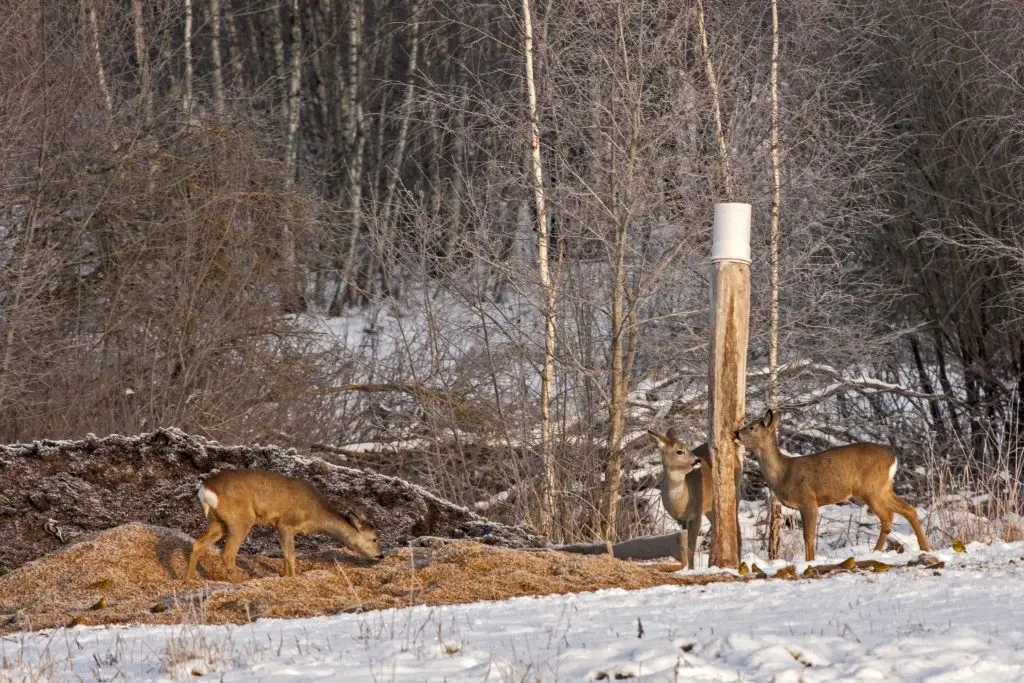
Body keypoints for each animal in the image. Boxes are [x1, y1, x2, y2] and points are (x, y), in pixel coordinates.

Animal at [185, 466, 385, 581]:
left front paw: (285, 576)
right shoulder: (285, 523)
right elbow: (291, 556)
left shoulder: (282, 527)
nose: (380, 556)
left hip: (218, 521)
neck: (315, 515)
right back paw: (239, 581)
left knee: (197, 544)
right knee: (227, 554)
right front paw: (294, 579)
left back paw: (189, 580)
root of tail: (205, 489)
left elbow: (285, 555)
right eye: (374, 538)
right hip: (241, 519)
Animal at [647, 430, 712, 569]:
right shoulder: (681, 520)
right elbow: (684, 546)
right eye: (679, 451)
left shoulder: (696, 515)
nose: (698, 460)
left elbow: (691, 548)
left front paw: (691, 569)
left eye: (688, 447)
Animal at [733, 411, 933, 561]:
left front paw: (810, 561)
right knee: (908, 510)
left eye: (751, 427)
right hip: (883, 488)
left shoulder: (808, 499)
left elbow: (809, 535)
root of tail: (893, 457)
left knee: (887, 517)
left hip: (871, 489)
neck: (784, 474)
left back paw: (878, 552)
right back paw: (925, 548)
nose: (736, 433)